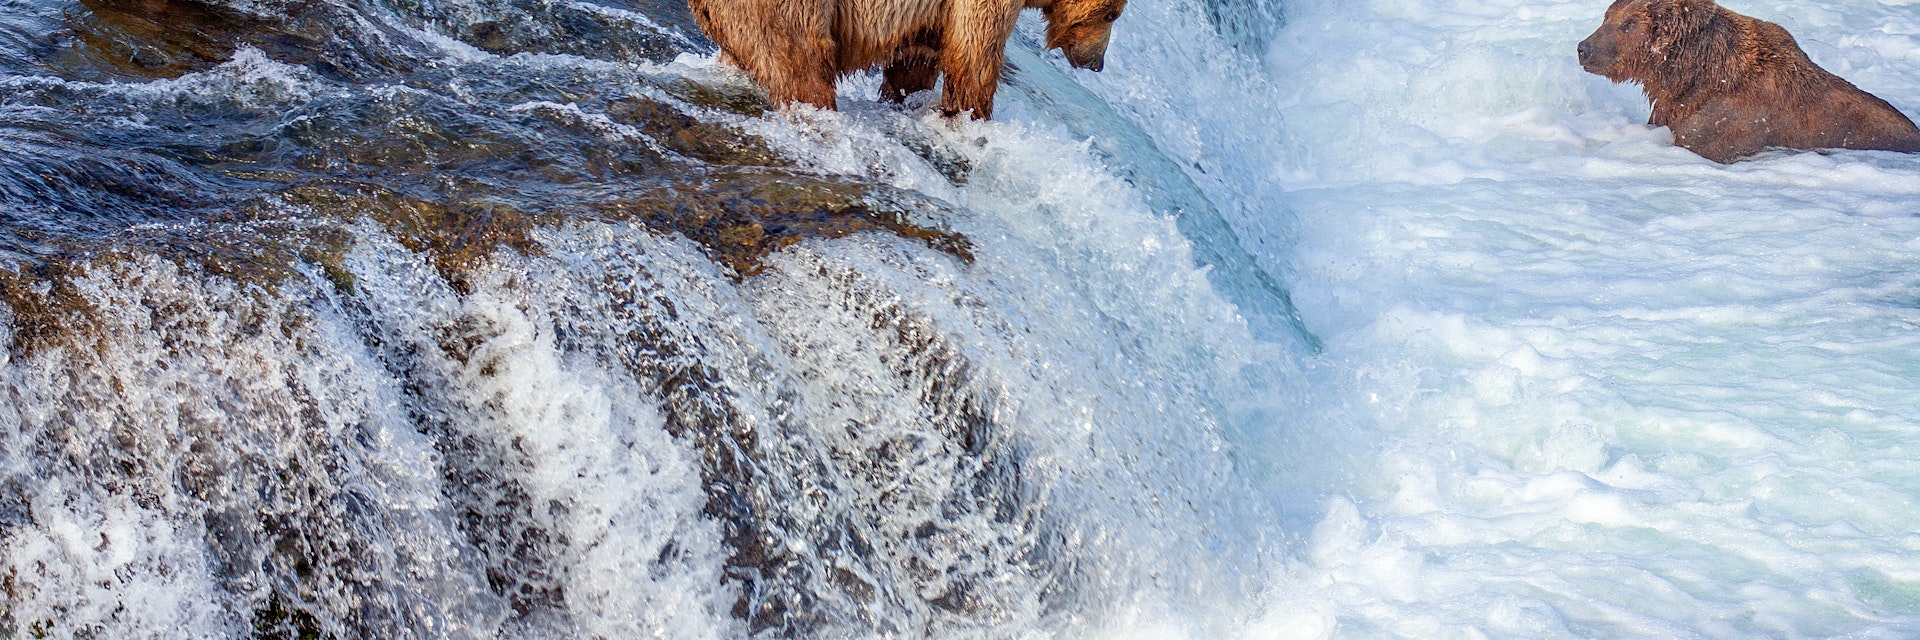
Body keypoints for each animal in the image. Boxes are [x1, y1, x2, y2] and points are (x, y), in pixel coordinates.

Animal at [688, 0, 1125, 119]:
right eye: (1111, 14)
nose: (1097, 63)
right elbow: (974, 56)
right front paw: (971, 118)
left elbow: (915, 60)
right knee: (802, 64)